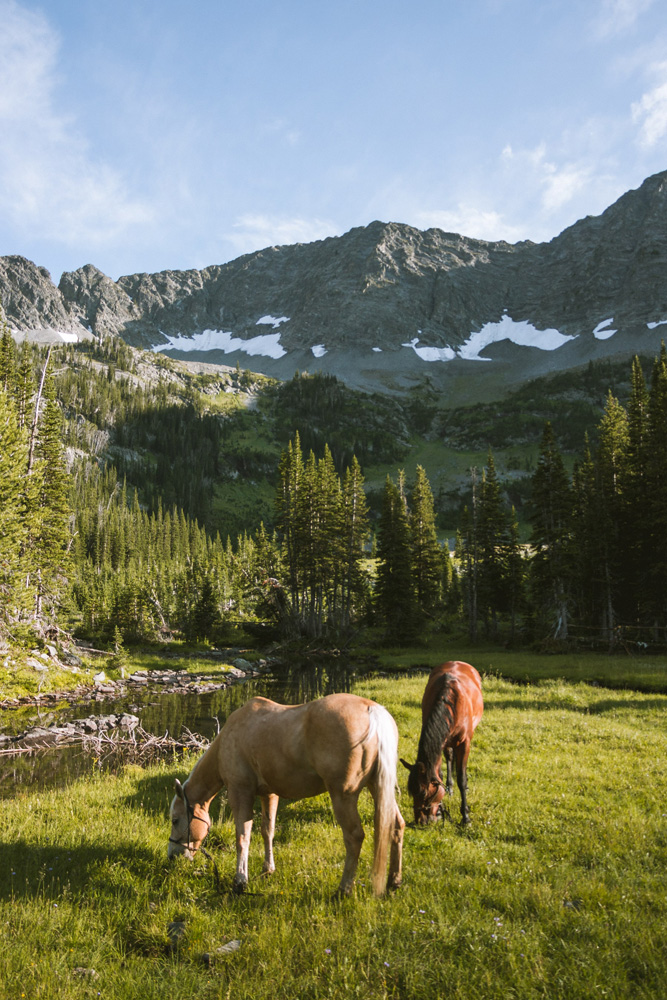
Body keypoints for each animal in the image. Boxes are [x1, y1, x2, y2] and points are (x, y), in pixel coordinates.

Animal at [168, 692, 405, 896]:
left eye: (175, 820)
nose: (172, 856)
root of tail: (371, 710)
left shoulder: (240, 792)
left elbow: (242, 837)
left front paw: (240, 881)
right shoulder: (269, 794)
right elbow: (267, 831)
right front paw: (267, 869)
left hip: (343, 796)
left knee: (354, 837)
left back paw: (344, 889)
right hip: (377, 788)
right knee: (396, 825)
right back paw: (394, 880)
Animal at [400, 661, 483, 826]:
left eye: (423, 793)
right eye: (411, 792)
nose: (421, 821)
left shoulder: (465, 743)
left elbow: (461, 778)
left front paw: (466, 817)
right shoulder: (439, 742)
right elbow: (439, 772)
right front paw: (439, 810)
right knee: (450, 757)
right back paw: (450, 787)